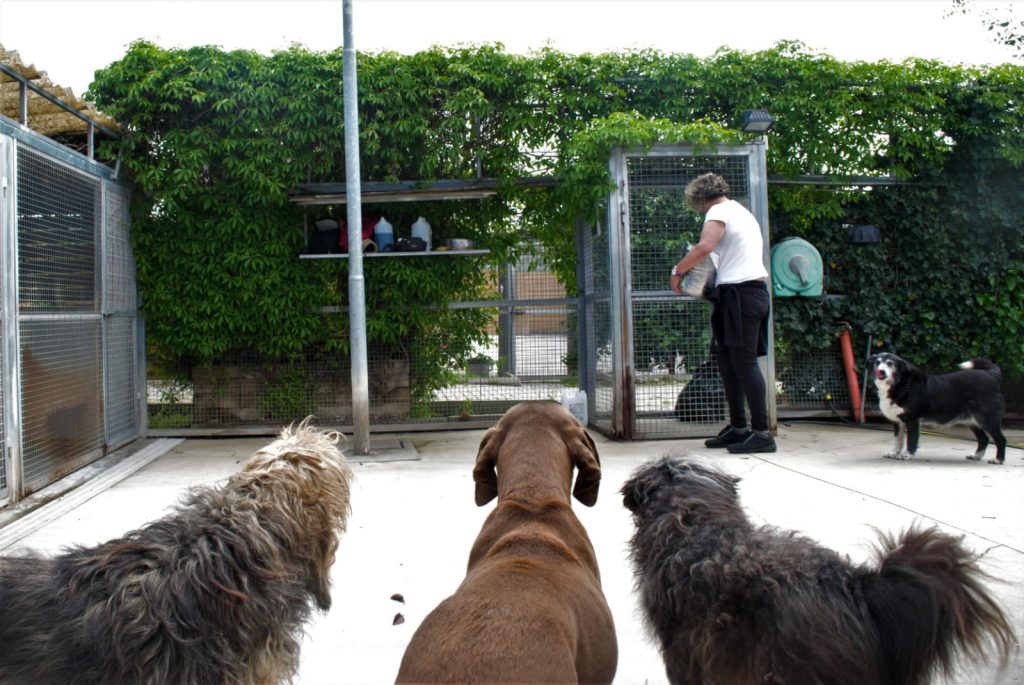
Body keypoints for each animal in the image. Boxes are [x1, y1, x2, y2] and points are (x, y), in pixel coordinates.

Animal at [872, 352, 1007, 464]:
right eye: (877, 362)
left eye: (890, 363)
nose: (881, 371)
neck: (902, 384)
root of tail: (990, 374)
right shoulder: (898, 422)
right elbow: (898, 440)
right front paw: (894, 452)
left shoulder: (912, 420)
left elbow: (911, 440)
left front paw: (907, 455)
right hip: (972, 420)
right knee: (984, 439)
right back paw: (977, 456)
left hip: (988, 419)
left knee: (1001, 439)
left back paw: (998, 459)